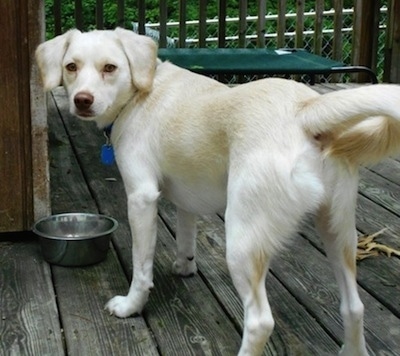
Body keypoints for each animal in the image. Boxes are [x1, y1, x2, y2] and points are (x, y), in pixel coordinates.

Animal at [36, 28, 400, 356]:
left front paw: (130, 305)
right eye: (71, 66)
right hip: (338, 232)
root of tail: (305, 109)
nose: (82, 101)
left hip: (242, 241)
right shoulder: (185, 198)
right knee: (354, 307)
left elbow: (141, 267)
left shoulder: (141, 197)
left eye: (110, 68)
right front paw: (184, 267)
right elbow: (186, 237)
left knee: (260, 322)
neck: (143, 90)